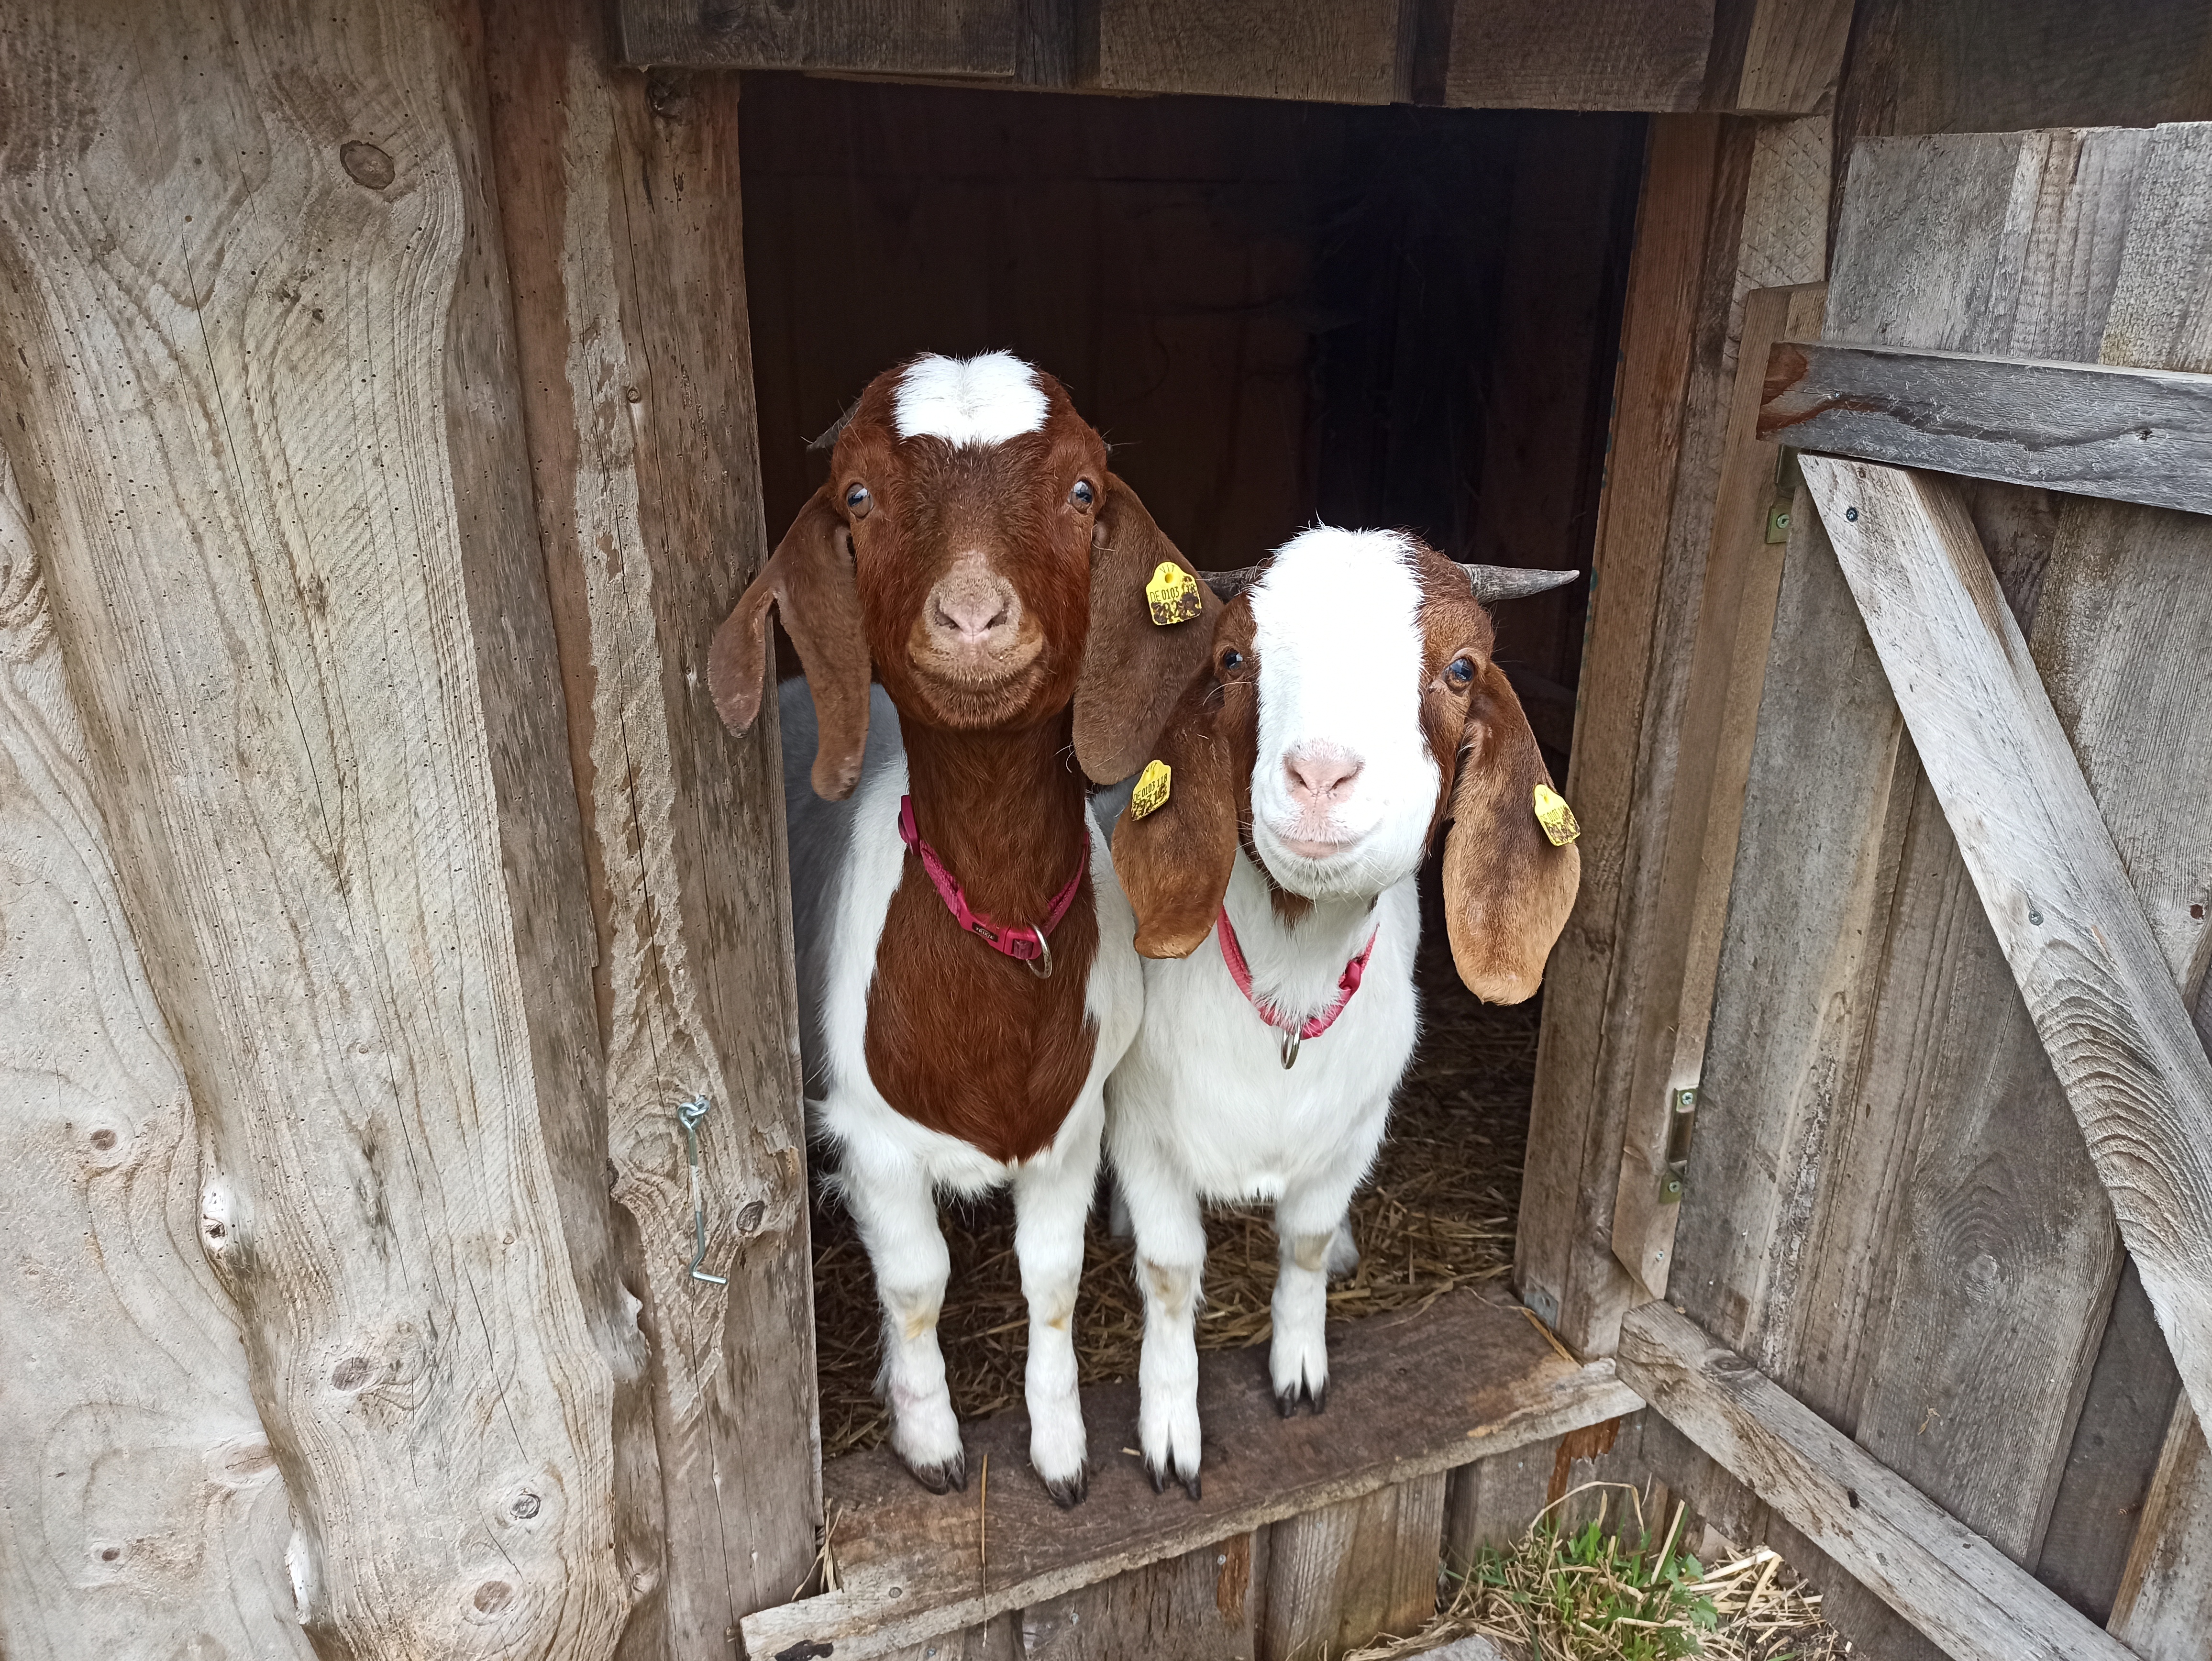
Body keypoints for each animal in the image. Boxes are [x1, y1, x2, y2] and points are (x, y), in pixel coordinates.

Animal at [708, 351, 1217, 1505]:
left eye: (1082, 491)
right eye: (857, 496)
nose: (975, 617)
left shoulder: (1071, 1125)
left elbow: (1054, 1278)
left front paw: (1061, 1449)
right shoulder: (869, 1136)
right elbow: (915, 1284)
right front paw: (929, 1435)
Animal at [1100, 526, 1580, 1496]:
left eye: (1462, 668)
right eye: (1232, 658)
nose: (1319, 773)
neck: (1290, 976)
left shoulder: (1352, 1129)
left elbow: (1309, 1242)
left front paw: (1298, 1366)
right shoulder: (1143, 1122)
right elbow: (1170, 1271)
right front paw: (1169, 1430)